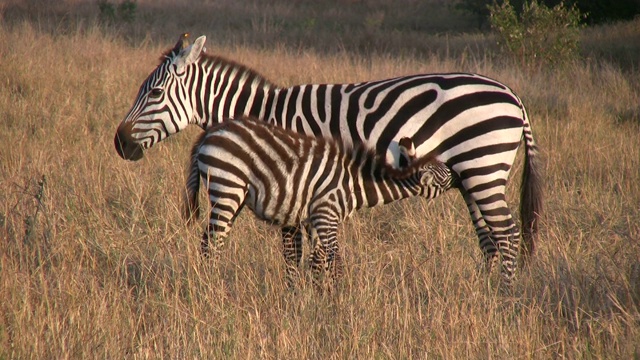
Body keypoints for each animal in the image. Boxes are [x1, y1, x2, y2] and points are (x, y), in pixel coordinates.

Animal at [184, 116, 456, 286]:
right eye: (445, 175)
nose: (460, 175)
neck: (355, 184)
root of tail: (211, 132)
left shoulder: (315, 218)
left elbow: (318, 261)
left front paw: (317, 297)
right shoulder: (327, 213)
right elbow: (335, 261)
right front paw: (338, 301)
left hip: (232, 196)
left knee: (210, 241)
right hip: (227, 187)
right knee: (212, 244)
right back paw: (211, 285)